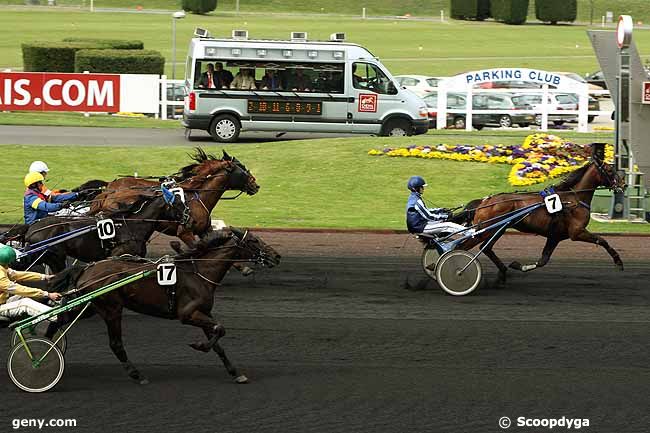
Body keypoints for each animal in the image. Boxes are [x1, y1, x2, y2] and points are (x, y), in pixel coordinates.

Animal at [45, 228, 278, 384]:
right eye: (254, 240)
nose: (276, 256)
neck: (199, 272)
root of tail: (86, 269)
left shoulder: (203, 312)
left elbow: (218, 340)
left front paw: (235, 372)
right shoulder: (188, 314)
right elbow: (220, 329)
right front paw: (199, 346)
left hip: (90, 306)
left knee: (59, 320)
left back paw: (46, 350)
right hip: (111, 309)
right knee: (115, 344)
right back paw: (137, 375)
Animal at [454, 150, 624, 282]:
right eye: (609, 170)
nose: (623, 184)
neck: (573, 199)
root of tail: (484, 201)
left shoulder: (555, 236)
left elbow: (543, 260)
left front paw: (517, 265)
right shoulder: (577, 232)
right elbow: (602, 240)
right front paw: (618, 261)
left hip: (497, 230)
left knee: (486, 248)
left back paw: (502, 272)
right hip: (486, 230)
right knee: (462, 247)